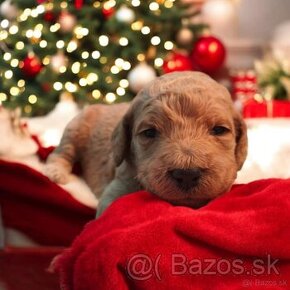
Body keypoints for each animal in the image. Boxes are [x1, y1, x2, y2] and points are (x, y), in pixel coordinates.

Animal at [45, 71, 247, 216]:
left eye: (219, 130)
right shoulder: (117, 189)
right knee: (61, 153)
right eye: (149, 132)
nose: (187, 174)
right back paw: (55, 172)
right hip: (75, 128)